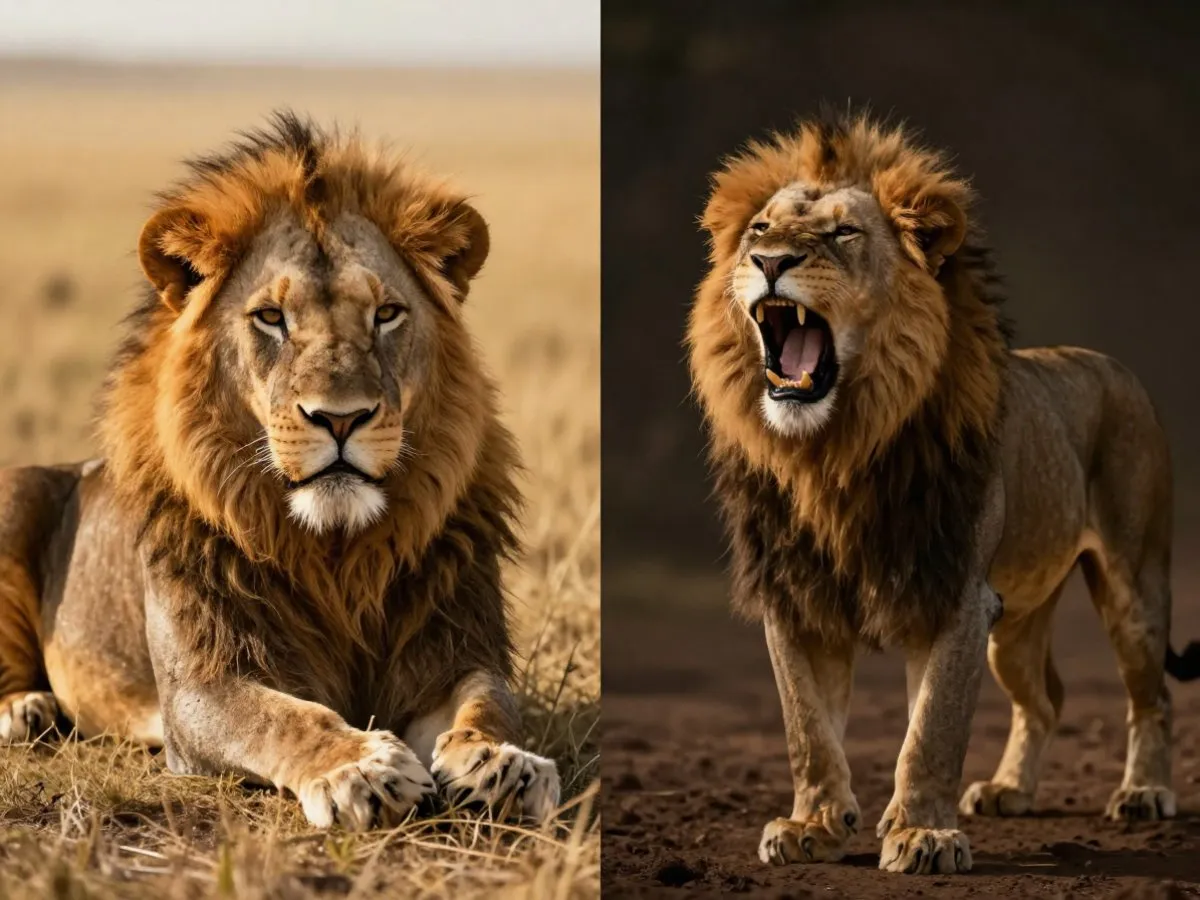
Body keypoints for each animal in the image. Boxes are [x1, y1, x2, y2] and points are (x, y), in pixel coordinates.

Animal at [0, 112, 560, 830]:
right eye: (271, 317)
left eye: (386, 314)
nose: (341, 419)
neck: (338, 551)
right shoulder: (201, 685)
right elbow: (284, 718)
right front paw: (362, 769)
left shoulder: (454, 648)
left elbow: (488, 702)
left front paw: (502, 763)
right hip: (14, 494)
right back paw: (25, 708)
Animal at [688, 112, 1198, 875]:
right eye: (759, 229)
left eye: (845, 233)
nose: (770, 260)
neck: (834, 453)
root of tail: (1108, 362)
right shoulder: (797, 598)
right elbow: (806, 727)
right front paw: (814, 824)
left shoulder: (955, 593)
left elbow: (931, 729)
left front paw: (921, 835)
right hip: (1015, 624)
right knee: (1046, 698)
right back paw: (1010, 790)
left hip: (1133, 584)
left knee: (1153, 696)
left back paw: (1142, 793)